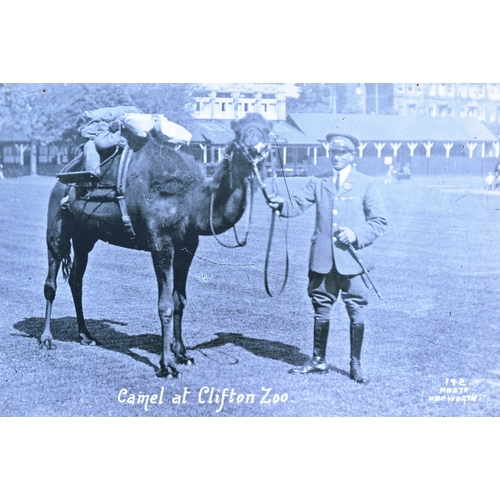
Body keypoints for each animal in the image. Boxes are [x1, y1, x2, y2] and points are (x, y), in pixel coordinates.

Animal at [42, 113, 274, 376]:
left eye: (267, 130)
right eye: (240, 132)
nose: (256, 148)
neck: (191, 200)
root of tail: (62, 177)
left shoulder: (187, 247)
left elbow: (179, 300)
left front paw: (182, 353)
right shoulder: (160, 244)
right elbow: (165, 305)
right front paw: (167, 365)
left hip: (85, 236)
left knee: (76, 279)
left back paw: (86, 335)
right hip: (57, 225)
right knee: (51, 280)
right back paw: (47, 339)